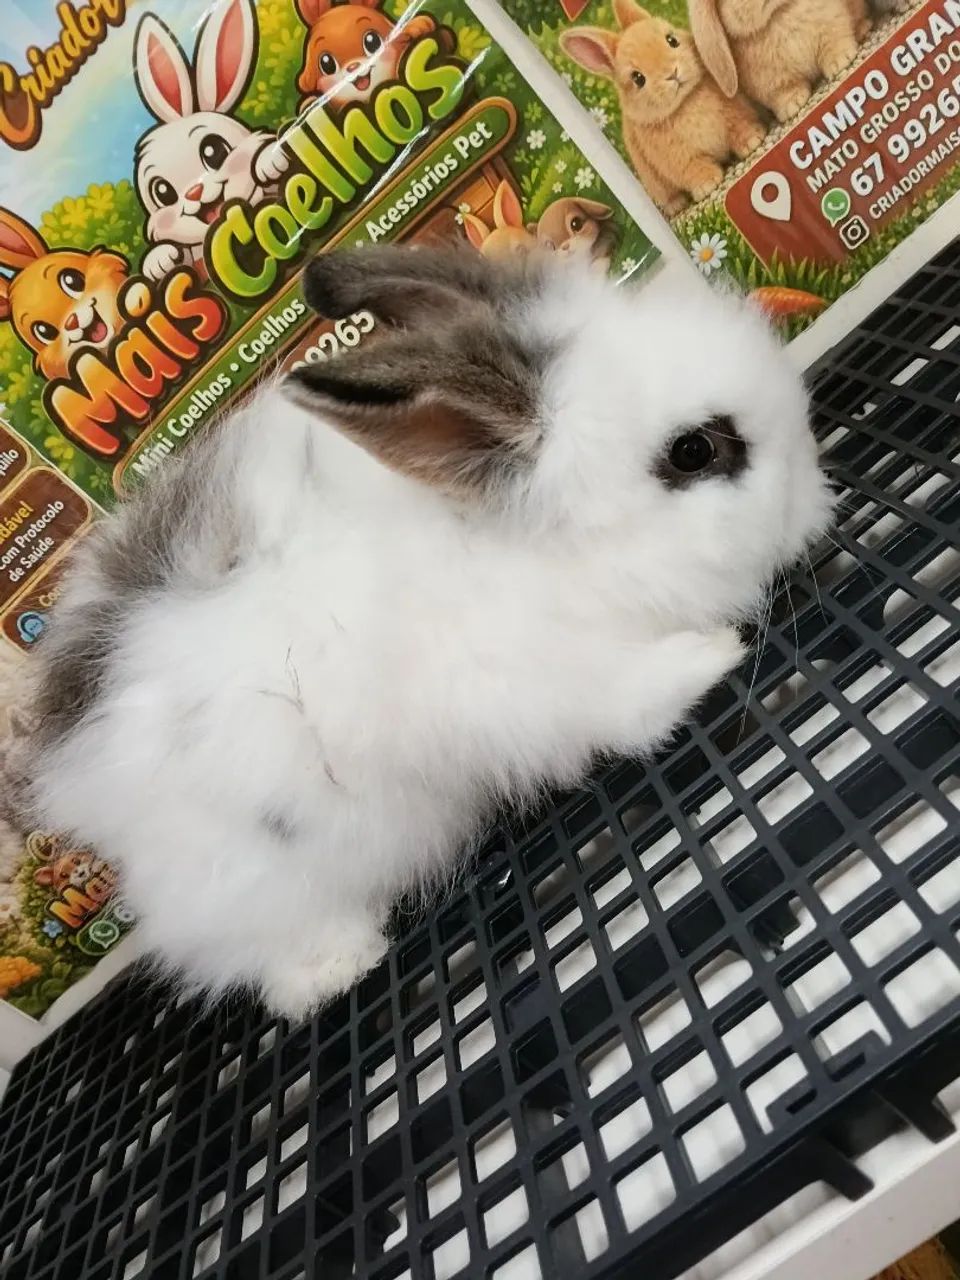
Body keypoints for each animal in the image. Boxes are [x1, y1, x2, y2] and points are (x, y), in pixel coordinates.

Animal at [26, 244, 834, 1019]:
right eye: (694, 452)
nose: (815, 503)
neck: (531, 547)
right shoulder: (537, 685)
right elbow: (633, 699)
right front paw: (713, 655)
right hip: (259, 862)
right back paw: (337, 967)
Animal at [561, 0, 766, 217]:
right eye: (638, 78)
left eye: (672, 40)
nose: (672, 73)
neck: (685, 102)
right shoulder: (677, 158)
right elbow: (692, 169)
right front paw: (707, 184)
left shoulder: (733, 112)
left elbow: (739, 126)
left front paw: (752, 141)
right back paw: (676, 205)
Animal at [689, 0, 868, 123]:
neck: (778, 12)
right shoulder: (769, 80)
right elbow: (781, 91)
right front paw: (792, 105)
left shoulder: (831, 21)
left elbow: (834, 41)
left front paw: (841, 61)